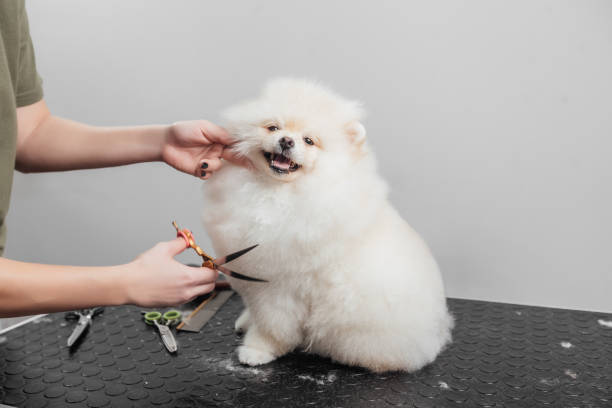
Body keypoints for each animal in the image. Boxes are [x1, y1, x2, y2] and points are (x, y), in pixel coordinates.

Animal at [203, 78, 452, 372]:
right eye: (273, 127)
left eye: (309, 141)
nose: (286, 140)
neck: (277, 192)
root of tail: (433, 335)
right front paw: (247, 323)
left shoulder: (281, 286)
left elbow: (272, 326)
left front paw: (257, 350)